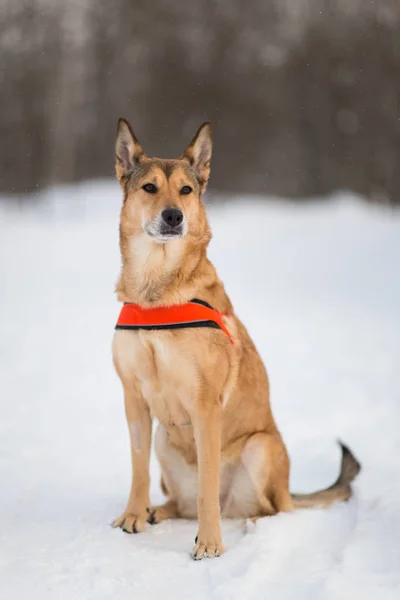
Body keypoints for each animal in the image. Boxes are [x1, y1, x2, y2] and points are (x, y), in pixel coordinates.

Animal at [111, 119, 360, 560]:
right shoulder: (134, 399)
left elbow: (208, 486)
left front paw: (209, 544)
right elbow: (138, 471)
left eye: (186, 190)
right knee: (183, 503)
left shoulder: (205, 405)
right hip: (163, 438)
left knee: (269, 508)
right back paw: (159, 511)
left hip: (259, 448)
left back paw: (254, 526)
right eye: (150, 188)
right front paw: (133, 516)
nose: (174, 216)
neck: (159, 293)